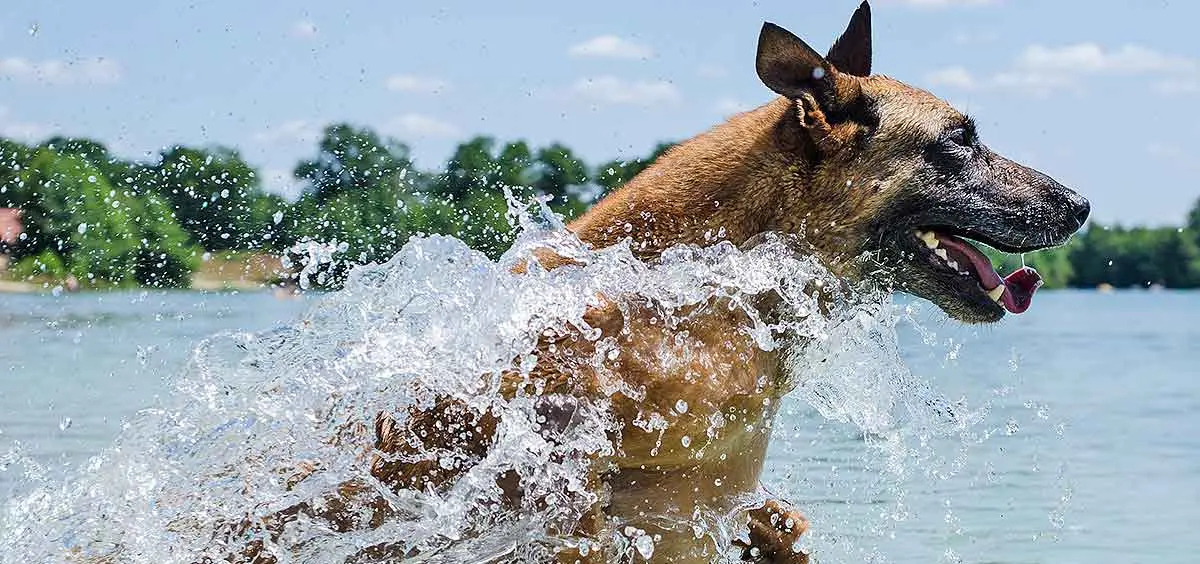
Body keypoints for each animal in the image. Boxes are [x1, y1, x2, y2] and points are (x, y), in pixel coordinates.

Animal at [220, 2, 1094, 561]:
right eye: (961, 139)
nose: (1082, 204)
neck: (712, 288)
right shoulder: (555, 482)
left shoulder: (711, 498)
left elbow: (776, 524)